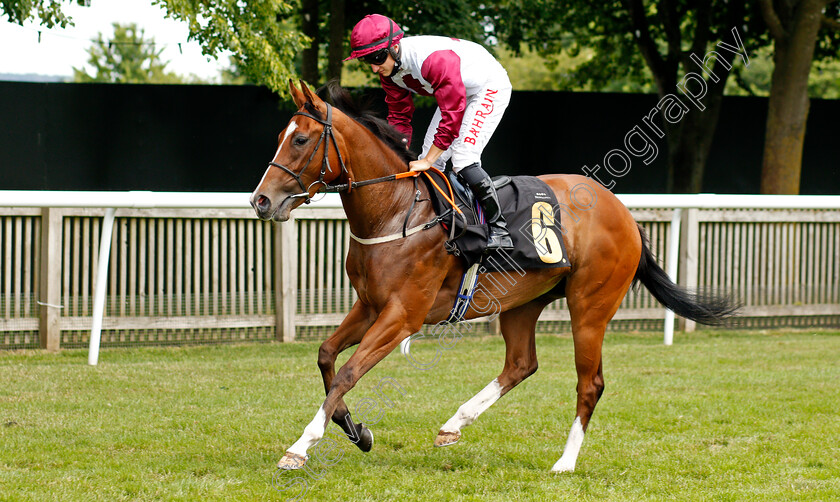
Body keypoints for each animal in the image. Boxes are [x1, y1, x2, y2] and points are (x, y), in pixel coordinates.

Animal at [249, 80, 736, 472]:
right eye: (279, 137)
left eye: (301, 139)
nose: (260, 201)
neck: (396, 212)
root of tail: (624, 213)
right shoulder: (369, 305)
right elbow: (327, 356)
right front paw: (357, 430)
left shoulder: (402, 315)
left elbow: (348, 372)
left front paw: (301, 446)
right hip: (523, 302)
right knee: (521, 364)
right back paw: (454, 423)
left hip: (590, 307)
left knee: (590, 383)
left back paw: (565, 462)